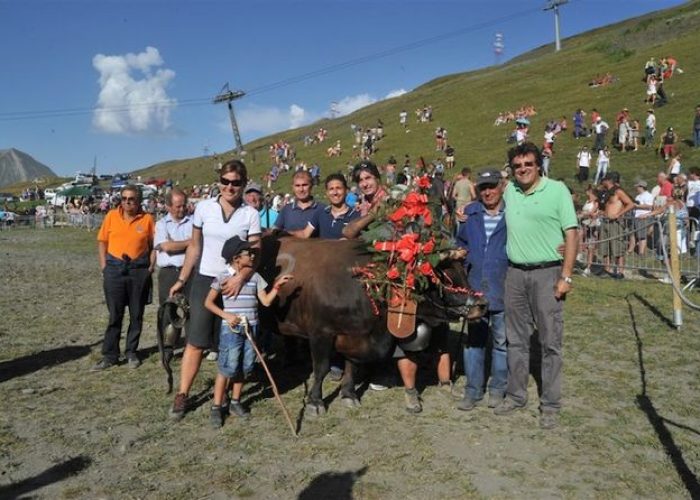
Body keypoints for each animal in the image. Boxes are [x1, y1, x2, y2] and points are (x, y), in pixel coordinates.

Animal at [256, 236, 482, 416]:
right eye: (444, 279)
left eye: (464, 273)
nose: (482, 305)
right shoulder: (321, 333)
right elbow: (321, 368)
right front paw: (315, 402)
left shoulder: (355, 336)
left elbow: (352, 366)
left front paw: (349, 395)